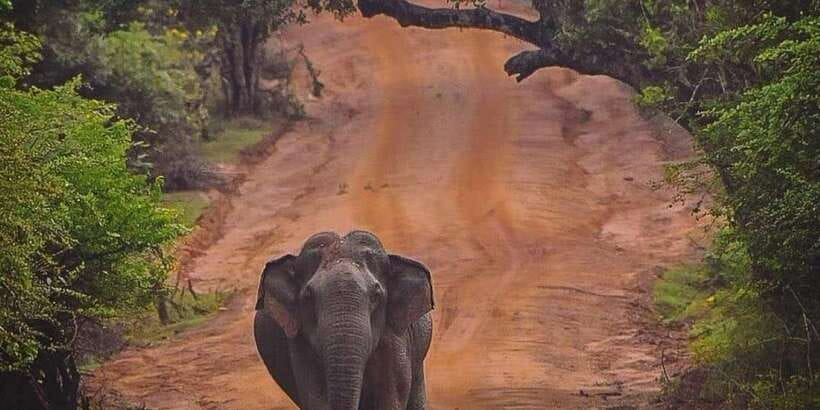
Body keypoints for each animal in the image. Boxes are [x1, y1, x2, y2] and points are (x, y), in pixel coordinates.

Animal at [254, 230, 434, 410]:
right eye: (308, 297)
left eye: (376, 296)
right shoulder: (300, 343)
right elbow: (315, 398)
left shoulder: (394, 340)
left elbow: (390, 397)